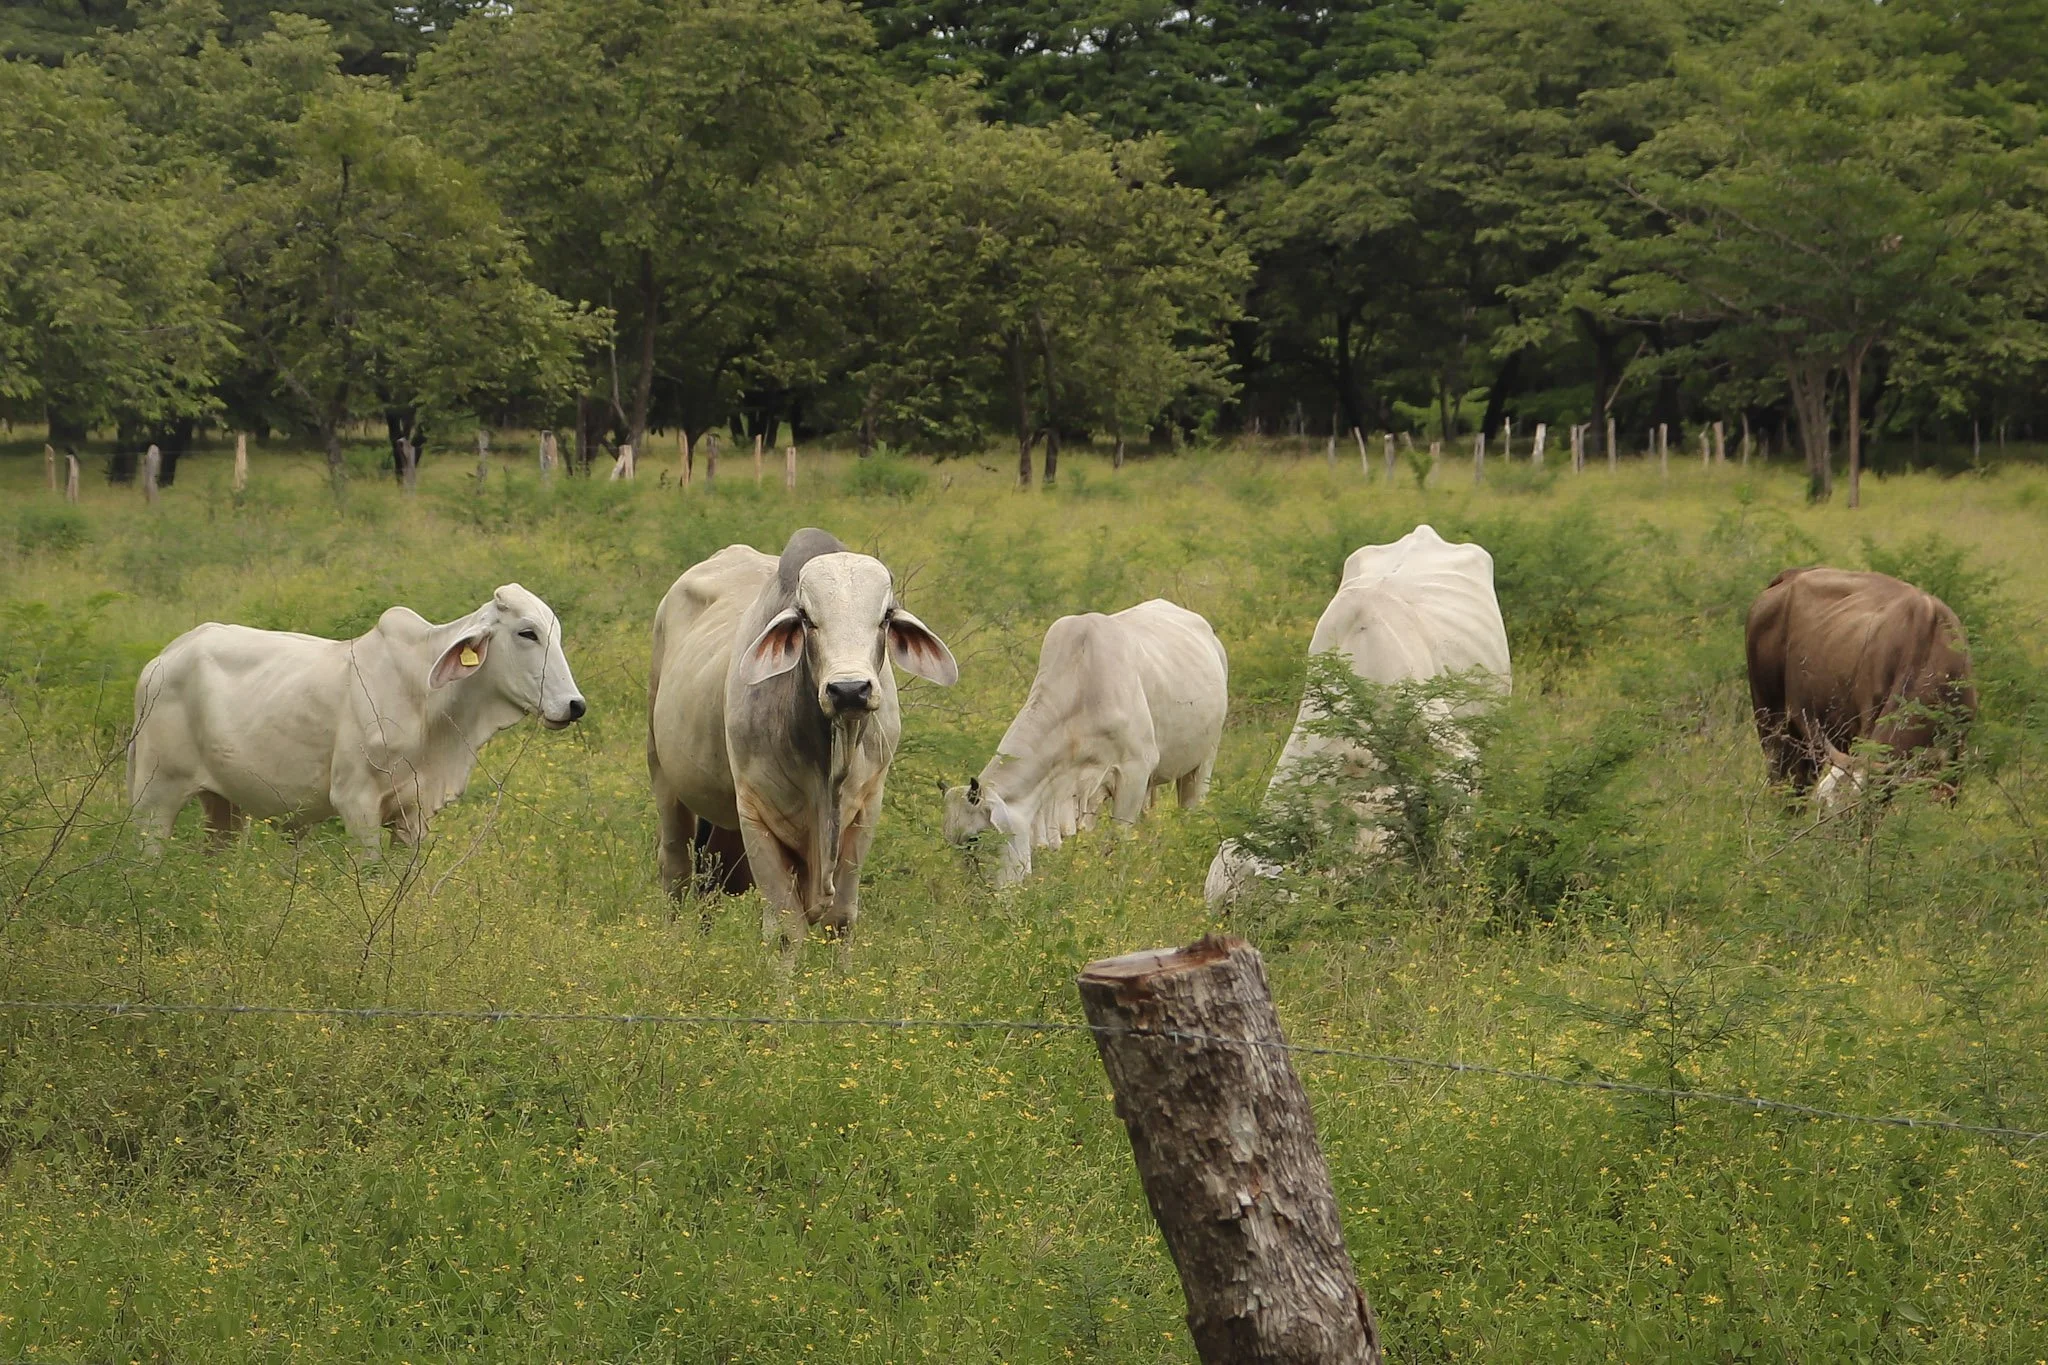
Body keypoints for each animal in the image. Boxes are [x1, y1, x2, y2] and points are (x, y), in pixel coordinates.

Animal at [128, 584, 585, 854]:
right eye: (527, 633)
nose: (574, 705)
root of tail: (161, 658)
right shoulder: (357, 804)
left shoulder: (414, 815)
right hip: (155, 797)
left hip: (224, 806)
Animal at [646, 529, 958, 967]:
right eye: (808, 618)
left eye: (884, 617)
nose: (849, 690)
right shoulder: (755, 814)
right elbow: (785, 932)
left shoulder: (865, 811)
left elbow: (840, 921)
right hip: (663, 773)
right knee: (676, 872)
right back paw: (673, 949)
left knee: (709, 883)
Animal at [941, 599, 1228, 884]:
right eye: (952, 843)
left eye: (975, 838)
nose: (974, 893)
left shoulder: (1135, 771)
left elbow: (1118, 842)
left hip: (1204, 760)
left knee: (1191, 808)